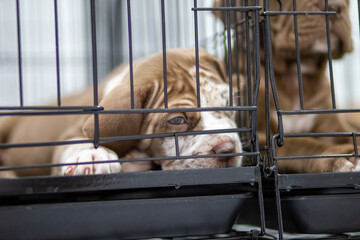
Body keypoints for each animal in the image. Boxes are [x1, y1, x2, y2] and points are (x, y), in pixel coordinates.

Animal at [0, 48, 242, 176]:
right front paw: (92, 156)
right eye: (177, 121)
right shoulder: (72, 130)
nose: (228, 149)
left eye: (227, 102)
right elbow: (75, 142)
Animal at [214, 0, 358, 172]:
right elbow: (301, 145)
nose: (334, 7)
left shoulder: (333, 125)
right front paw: (338, 155)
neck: (295, 76)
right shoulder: (260, 137)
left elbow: (350, 133)